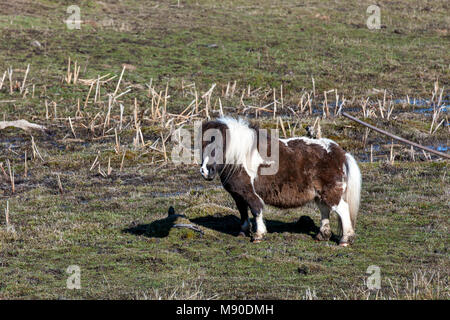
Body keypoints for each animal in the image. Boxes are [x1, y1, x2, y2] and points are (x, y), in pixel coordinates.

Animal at [200, 117, 362, 245]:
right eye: (201, 145)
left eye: (219, 145)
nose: (206, 171)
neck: (240, 156)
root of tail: (340, 153)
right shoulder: (238, 195)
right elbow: (243, 212)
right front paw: (243, 232)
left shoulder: (250, 193)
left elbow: (256, 209)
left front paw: (258, 235)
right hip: (319, 194)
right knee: (325, 211)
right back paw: (322, 235)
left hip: (331, 192)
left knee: (342, 209)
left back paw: (345, 240)